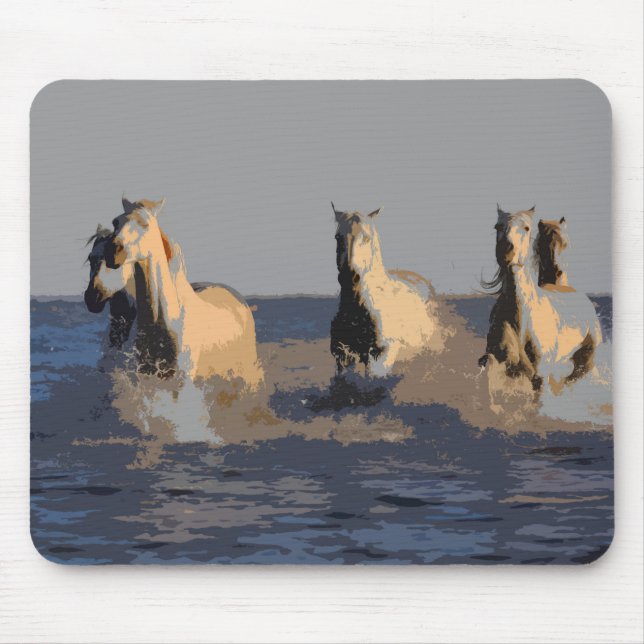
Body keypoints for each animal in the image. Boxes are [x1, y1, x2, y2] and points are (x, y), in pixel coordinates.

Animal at [479, 205, 602, 393]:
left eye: (526, 228)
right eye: (497, 226)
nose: (506, 251)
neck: (521, 319)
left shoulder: (540, 376)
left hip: (584, 362)